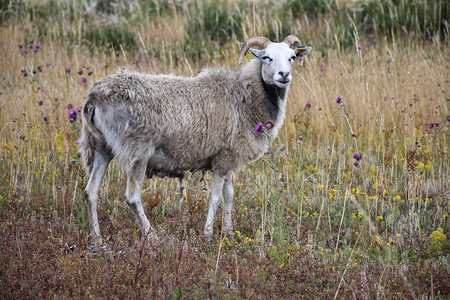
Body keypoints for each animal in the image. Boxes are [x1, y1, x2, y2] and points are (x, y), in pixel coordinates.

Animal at [81, 35, 312, 244]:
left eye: (292, 57)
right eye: (266, 57)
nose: (284, 75)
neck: (246, 98)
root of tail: (95, 97)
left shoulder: (227, 157)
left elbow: (229, 195)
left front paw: (228, 232)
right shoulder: (223, 160)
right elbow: (215, 198)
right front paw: (208, 234)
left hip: (101, 148)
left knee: (90, 192)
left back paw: (96, 238)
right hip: (137, 151)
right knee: (132, 197)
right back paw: (151, 235)